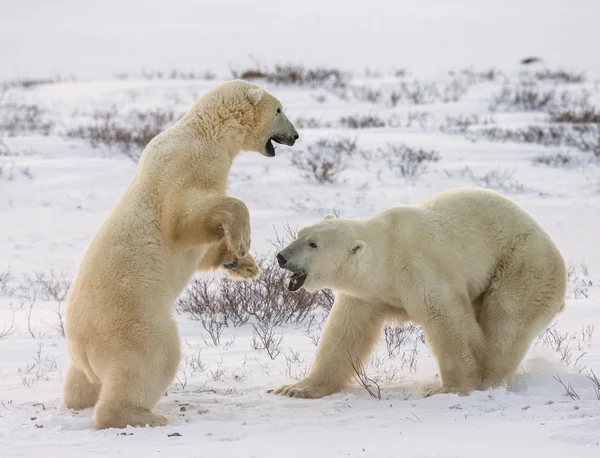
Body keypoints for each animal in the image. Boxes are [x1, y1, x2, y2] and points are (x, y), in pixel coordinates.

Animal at [274, 186, 568, 398]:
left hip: (523, 265)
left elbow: (450, 324)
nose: (281, 256)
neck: (386, 257)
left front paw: (450, 388)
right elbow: (344, 333)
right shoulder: (367, 293)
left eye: (313, 244)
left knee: (506, 321)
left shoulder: (420, 269)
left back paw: (490, 381)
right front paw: (296, 388)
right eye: (300, 233)